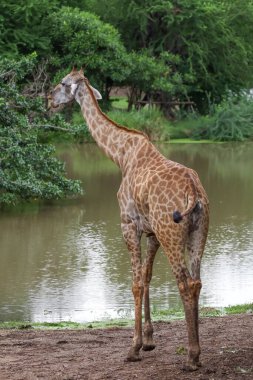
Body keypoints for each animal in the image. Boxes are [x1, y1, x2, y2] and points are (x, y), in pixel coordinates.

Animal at [49, 68, 210, 372]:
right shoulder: (152, 232)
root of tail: (194, 192)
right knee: (196, 282)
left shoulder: (128, 225)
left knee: (184, 283)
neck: (121, 155)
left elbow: (135, 283)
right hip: (198, 232)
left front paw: (133, 348)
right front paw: (148, 340)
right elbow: (146, 277)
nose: (49, 101)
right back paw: (196, 354)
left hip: (172, 232)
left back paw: (191, 357)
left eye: (63, 83)